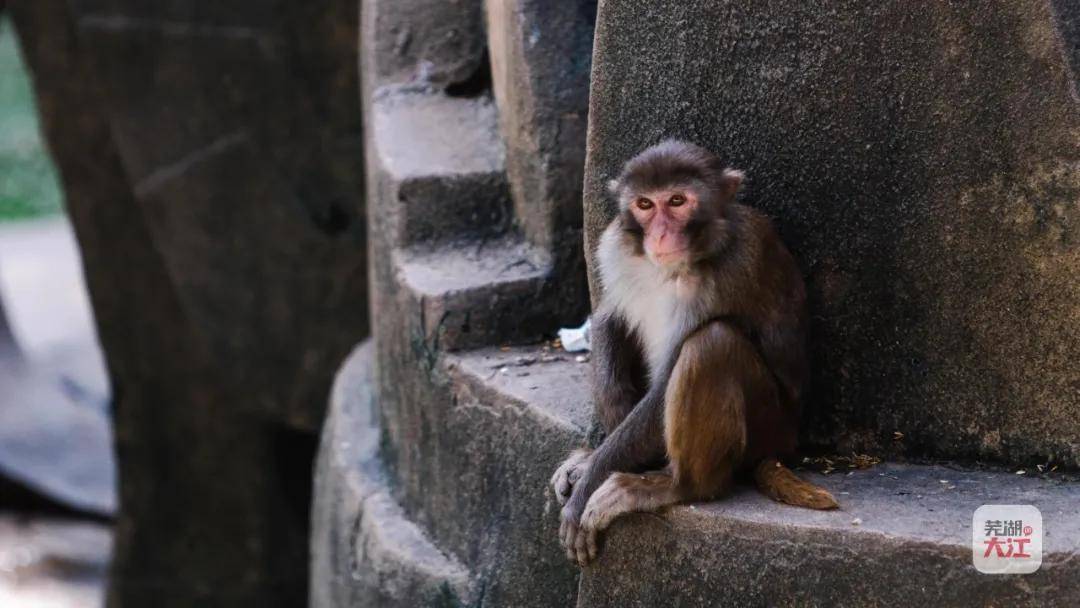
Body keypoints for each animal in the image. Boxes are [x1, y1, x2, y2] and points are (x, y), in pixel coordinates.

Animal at [548, 139, 833, 565]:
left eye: (678, 200)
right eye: (645, 205)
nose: (660, 234)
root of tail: (784, 445)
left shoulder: (727, 275)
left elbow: (666, 383)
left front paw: (588, 485)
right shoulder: (615, 246)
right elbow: (610, 316)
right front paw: (597, 447)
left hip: (768, 425)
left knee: (711, 343)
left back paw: (680, 487)